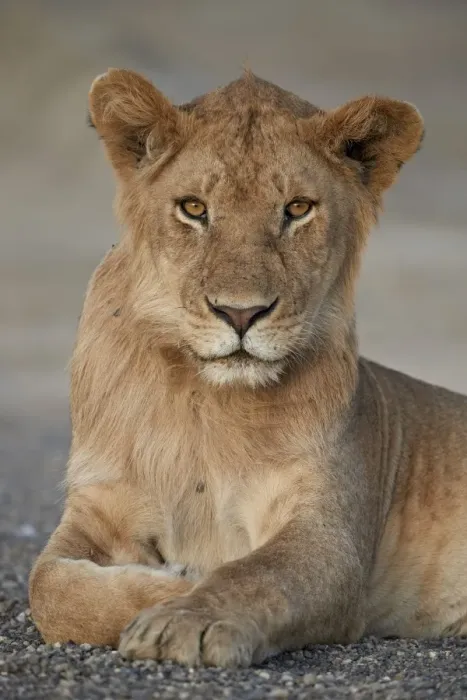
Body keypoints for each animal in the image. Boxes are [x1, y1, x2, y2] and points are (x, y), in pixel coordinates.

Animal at [29, 69, 467, 668]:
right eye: (193, 208)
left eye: (297, 209)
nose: (241, 313)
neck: (205, 403)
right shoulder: (100, 503)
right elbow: (47, 587)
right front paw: (174, 584)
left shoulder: (329, 536)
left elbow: (256, 575)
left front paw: (186, 616)